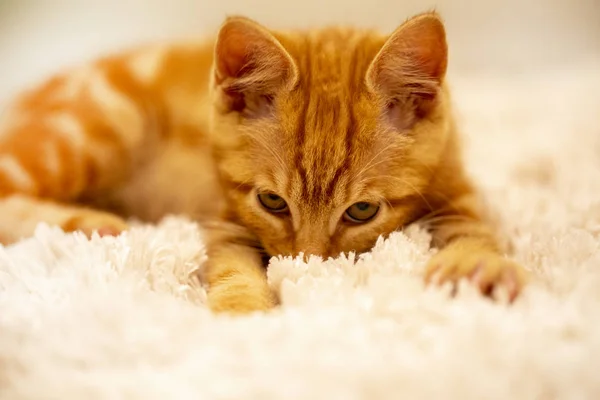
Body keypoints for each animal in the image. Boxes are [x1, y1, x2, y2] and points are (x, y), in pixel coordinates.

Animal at [0, 11, 524, 312]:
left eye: (362, 211)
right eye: (272, 202)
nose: (306, 263)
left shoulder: (453, 180)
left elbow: (472, 224)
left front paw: (476, 264)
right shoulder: (223, 215)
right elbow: (232, 264)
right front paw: (245, 310)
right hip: (105, 121)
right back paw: (89, 222)